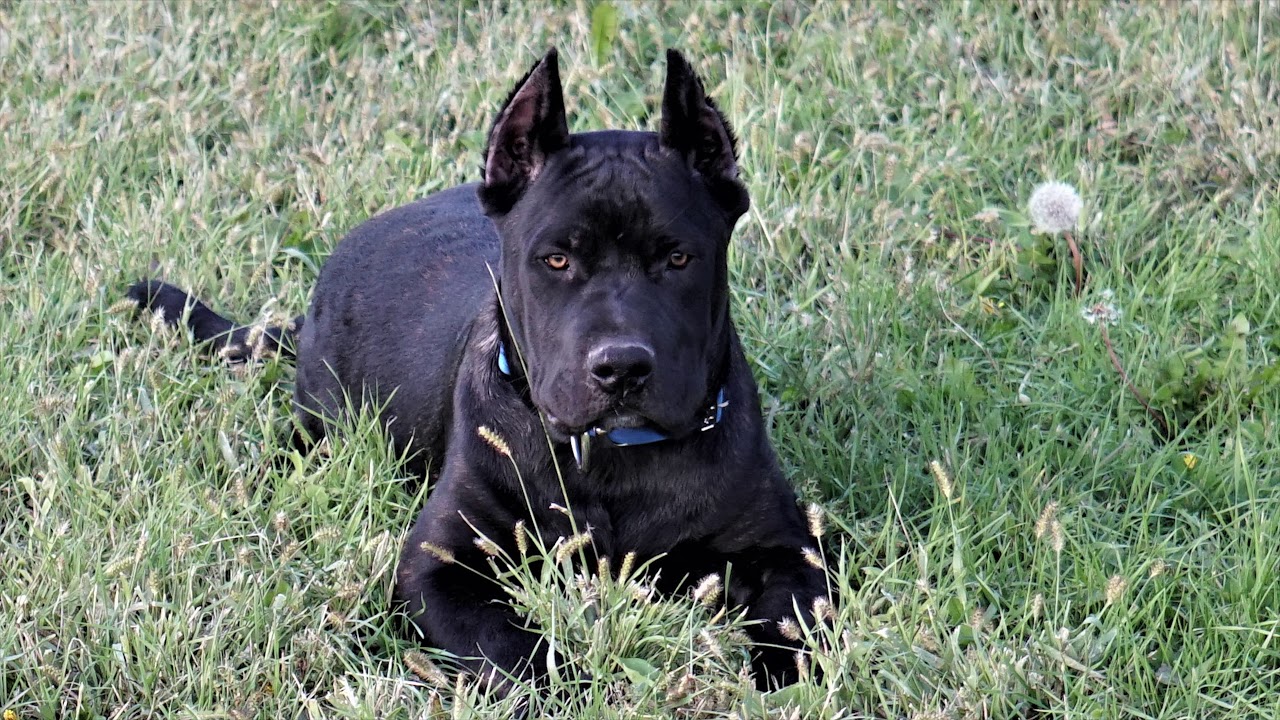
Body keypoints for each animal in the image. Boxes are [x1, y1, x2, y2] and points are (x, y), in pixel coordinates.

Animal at [129, 49, 824, 691]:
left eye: (679, 258)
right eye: (556, 260)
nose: (621, 367)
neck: (613, 461)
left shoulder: (786, 546)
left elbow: (793, 622)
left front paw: (778, 678)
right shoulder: (440, 565)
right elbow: (512, 648)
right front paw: (569, 684)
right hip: (323, 424)